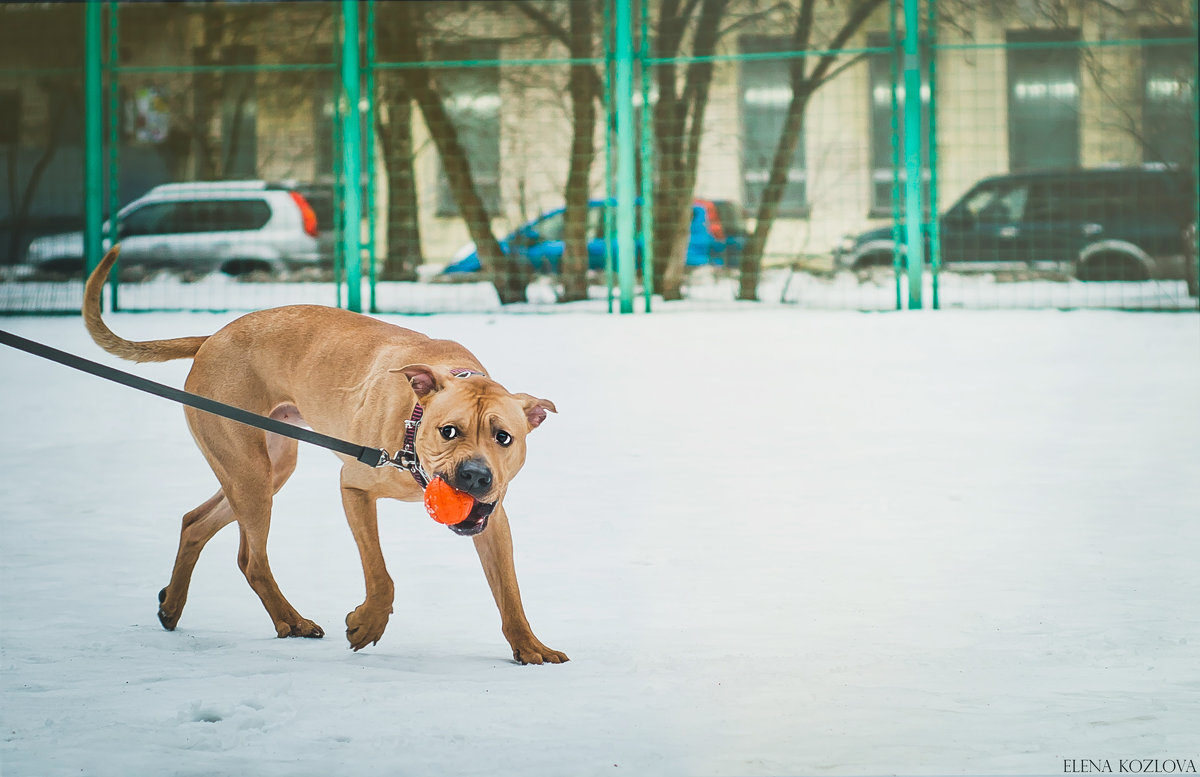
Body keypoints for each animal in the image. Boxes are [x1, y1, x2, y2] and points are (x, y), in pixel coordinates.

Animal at [81, 247, 566, 661]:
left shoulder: (493, 521)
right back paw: (290, 621)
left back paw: (172, 606)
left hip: (267, 468)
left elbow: (509, 590)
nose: (476, 477)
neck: (413, 431)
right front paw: (366, 624)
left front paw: (529, 646)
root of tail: (213, 337)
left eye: (504, 437)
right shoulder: (355, 487)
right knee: (251, 560)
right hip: (250, 472)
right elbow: (380, 573)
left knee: (195, 522)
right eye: (449, 431)